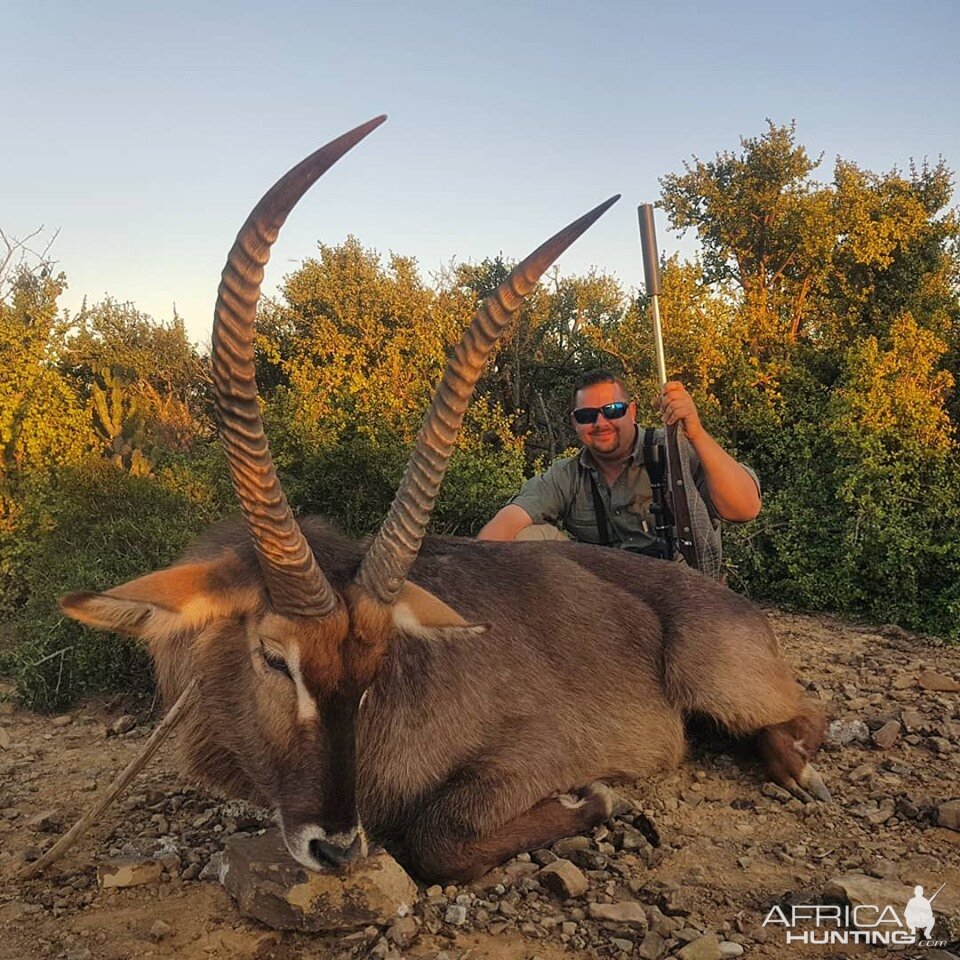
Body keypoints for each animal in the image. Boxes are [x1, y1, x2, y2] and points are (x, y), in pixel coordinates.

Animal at [60, 118, 828, 884]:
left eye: (375, 669)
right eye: (273, 657)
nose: (336, 847)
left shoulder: (536, 753)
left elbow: (437, 840)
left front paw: (598, 799)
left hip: (721, 685)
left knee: (806, 715)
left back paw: (798, 769)